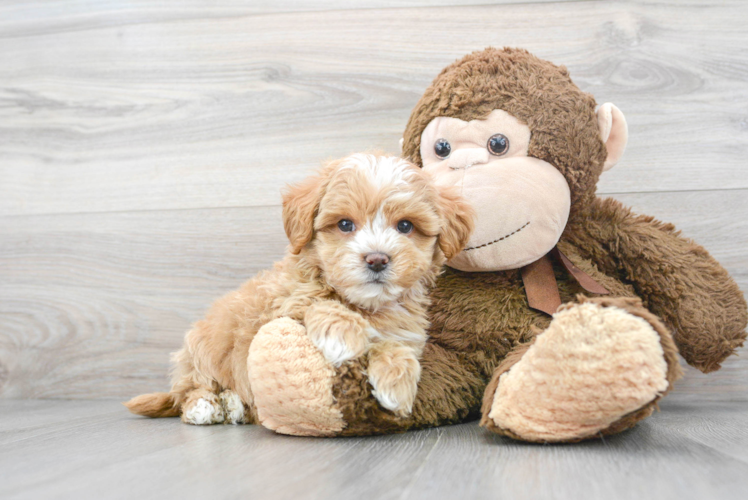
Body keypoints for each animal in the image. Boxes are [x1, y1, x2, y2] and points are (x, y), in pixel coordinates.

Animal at [125, 152, 470, 422]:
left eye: (405, 226)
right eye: (345, 224)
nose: (376, 259)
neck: (366, 306)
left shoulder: (404, 331)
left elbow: (396, 347)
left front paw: (396, 385)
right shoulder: (276, 312)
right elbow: (318, 303)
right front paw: (343, 335)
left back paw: (233, 405)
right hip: (202, 348)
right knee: (192, 387)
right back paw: (206, 406)